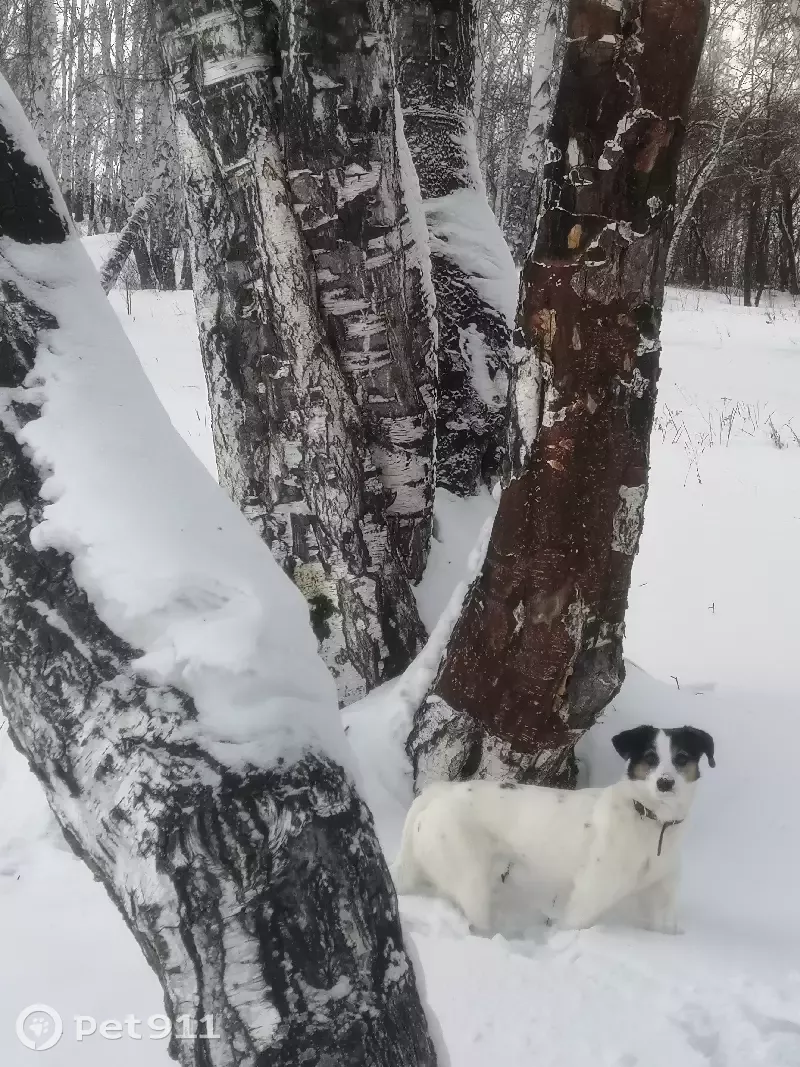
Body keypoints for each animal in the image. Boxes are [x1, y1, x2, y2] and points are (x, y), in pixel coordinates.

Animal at [392, 725, 716, 934]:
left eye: (682, 758)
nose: (665, 782)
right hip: (469, 878)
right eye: (650, 758)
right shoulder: (589, 894)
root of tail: (438, 793)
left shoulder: (662, 896)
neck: (651, 821)